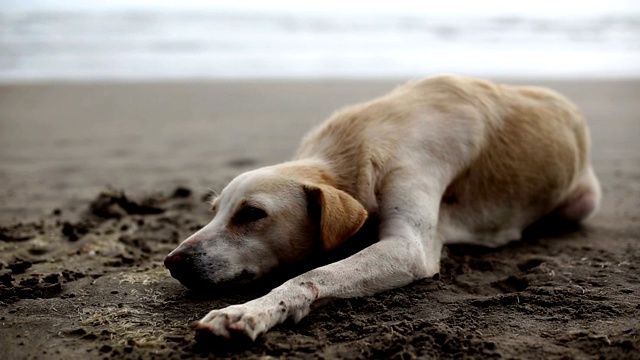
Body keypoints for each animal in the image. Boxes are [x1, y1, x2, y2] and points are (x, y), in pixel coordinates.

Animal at [164, 75, 600, 340]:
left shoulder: (409, 246)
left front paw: (251, 311)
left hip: (583, 202)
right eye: (214, 211)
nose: (171, 261)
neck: (355, 152)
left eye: (252, 214)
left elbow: (313, 274)